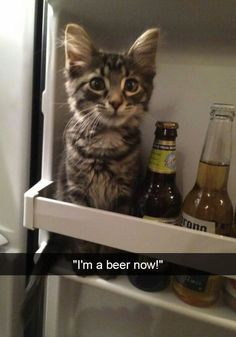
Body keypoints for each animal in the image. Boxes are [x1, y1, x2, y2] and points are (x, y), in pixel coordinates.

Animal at [22, 22, 159, 322]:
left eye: (131, 85)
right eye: (97, 84)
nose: (116, 102)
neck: (105, 142)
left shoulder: (123, 199)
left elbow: (107, 243)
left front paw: (106, 269)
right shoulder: (77, 194)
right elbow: (84, 240)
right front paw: (85, 266)